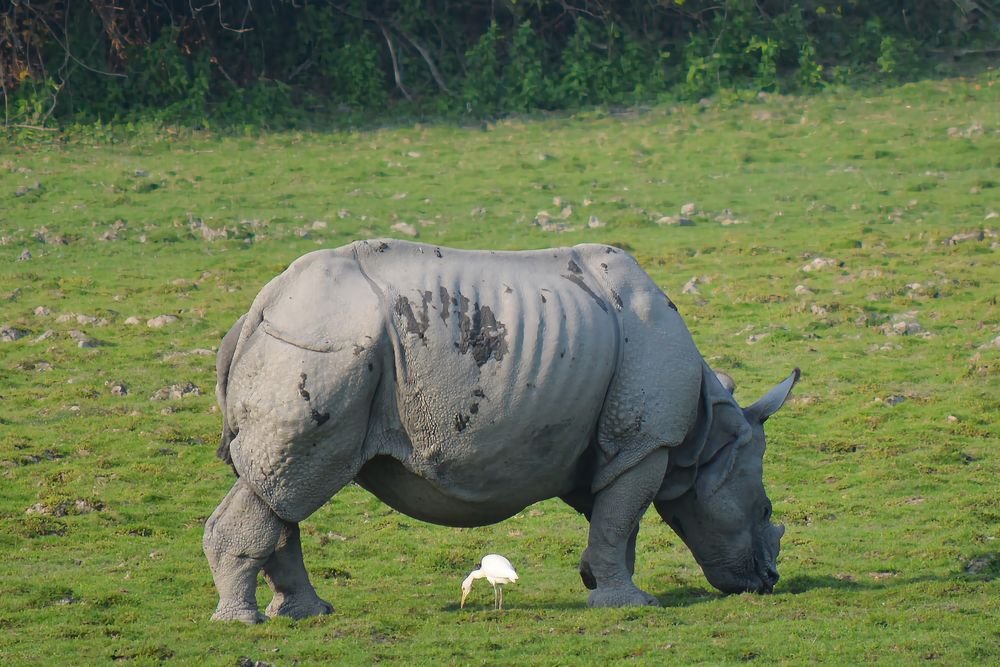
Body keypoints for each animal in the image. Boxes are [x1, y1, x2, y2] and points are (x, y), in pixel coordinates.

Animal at [205, 239, 798, 622]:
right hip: (322, 352)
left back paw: (307, 615)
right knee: (293, 481)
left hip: (310, 347)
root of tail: (259, 306)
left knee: (280, 490)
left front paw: (598, 582)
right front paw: (630, 605)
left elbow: (615, 518)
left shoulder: (611, 444)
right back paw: (244, 623)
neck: (708, 436)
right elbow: (619, 516)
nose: (768, 583)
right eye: (767, 509)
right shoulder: (646, 441)